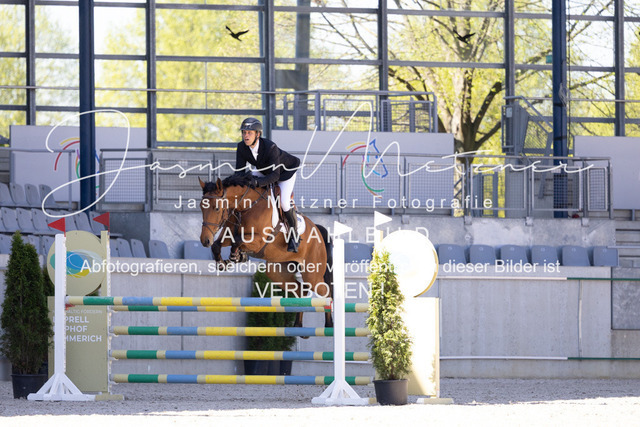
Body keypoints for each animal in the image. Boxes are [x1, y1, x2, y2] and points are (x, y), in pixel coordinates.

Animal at [199, 175, 334, 328]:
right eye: (200, 207)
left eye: (216, 208)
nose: (205, 240)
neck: (245, 207)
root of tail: (317, 229)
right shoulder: (228, 234)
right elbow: (217, 245)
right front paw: (223, 263)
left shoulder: (259, 241)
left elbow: (237, 241)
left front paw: (236, 256)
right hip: (278, 272)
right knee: (301, 291)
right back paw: (297, 326)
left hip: (312, 274)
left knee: (326, 293)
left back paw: (330, 325)